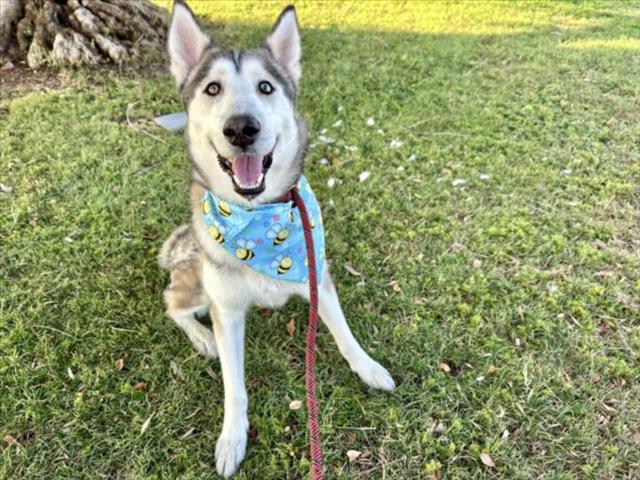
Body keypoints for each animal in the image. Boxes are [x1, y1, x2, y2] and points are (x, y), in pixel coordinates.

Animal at [159, 1, 396, 476]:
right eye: (212, 88)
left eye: (265, 87)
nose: (241, 128)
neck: (259, 219)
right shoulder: (227, 311)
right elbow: (235, 387)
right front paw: (232, 439)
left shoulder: (316, 276)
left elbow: (345, 335)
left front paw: (368, 368)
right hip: (197, 285)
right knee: (172, 303)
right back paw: (202, 338)